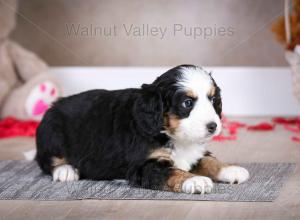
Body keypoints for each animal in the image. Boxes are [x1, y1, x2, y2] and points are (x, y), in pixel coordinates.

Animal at [36, 64, 250, 193]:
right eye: (187, 103)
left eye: (213, 100)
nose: (213, 126)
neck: (169, 133)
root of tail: (55, 106)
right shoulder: (143, 166)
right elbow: (172, 171)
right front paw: (195, 180)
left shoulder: (196, 152)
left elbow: (209, 160)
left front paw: (230, 169)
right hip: (52, 133)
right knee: (46, 161)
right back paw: (66, 170)